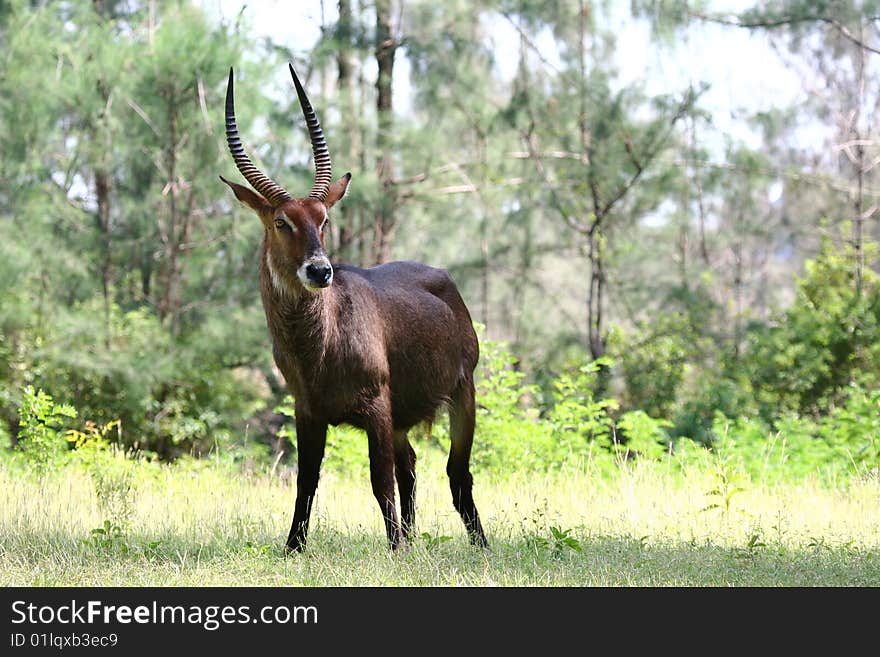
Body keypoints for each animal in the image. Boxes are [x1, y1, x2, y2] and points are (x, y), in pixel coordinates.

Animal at [220, 64, 488, 552]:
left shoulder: (377, 409)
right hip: (404, 419)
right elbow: (306, 481)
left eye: (323, 219)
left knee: (455, 474)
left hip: (463, 394)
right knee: (411, 466)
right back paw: (415, 540)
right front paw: (293, 548)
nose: (320, 270)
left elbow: (379, 481)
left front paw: (394, 550)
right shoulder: (308, 412)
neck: (319, 347)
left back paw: (478, 545)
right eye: (281, 221)